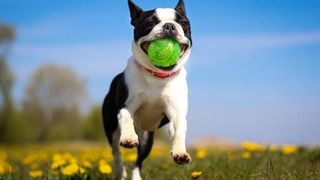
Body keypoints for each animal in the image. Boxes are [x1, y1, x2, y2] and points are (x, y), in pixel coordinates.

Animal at [104, 0, 191, 179]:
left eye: (183, 23)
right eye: (150, 23)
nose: (170, 26)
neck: (157, 76)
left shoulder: (176, 113)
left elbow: (179, 130)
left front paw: (180, 152)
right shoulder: (126, 105)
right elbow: (126, 117)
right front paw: (129, 137)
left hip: (146, 139)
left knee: (138, 161)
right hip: (111, 129)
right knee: (116, 152)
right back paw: (120, 171)